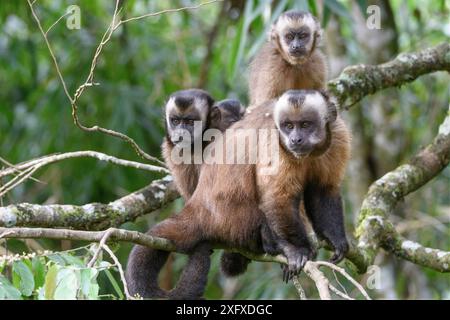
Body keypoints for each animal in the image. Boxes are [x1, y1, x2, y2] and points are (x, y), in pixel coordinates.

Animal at [126, 90, 352, 300]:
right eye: (288, 126)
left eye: (305, 124)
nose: (295, 139)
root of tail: (197, 209)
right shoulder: (276, 142)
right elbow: (276, 198)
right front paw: (297, 250)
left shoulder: (338, 135)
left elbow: (323, 189)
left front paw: (336, 239)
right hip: (232, 220)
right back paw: (272, 242)